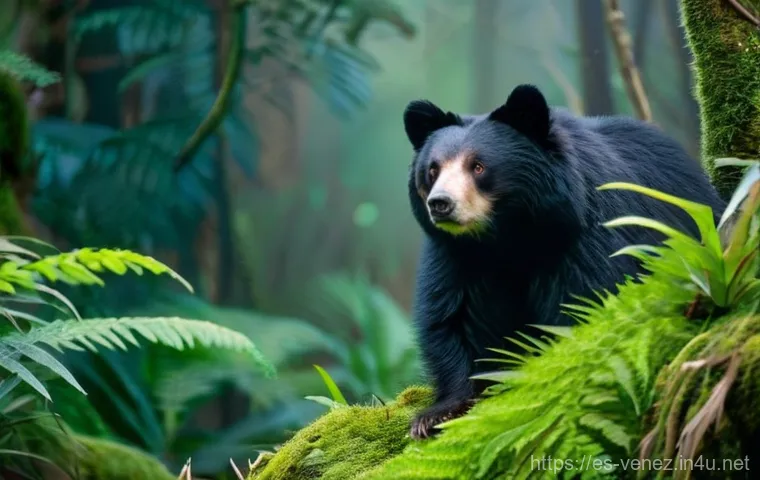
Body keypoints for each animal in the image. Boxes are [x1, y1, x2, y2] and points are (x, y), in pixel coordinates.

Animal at [403, 84, 726, 440]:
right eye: (433, 170)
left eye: (478, 167)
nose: (440, 204)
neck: (506, 236)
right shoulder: (455, 255)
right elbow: (452, 317)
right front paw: (438, 414)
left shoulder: (590, 235)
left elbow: (585, 303)